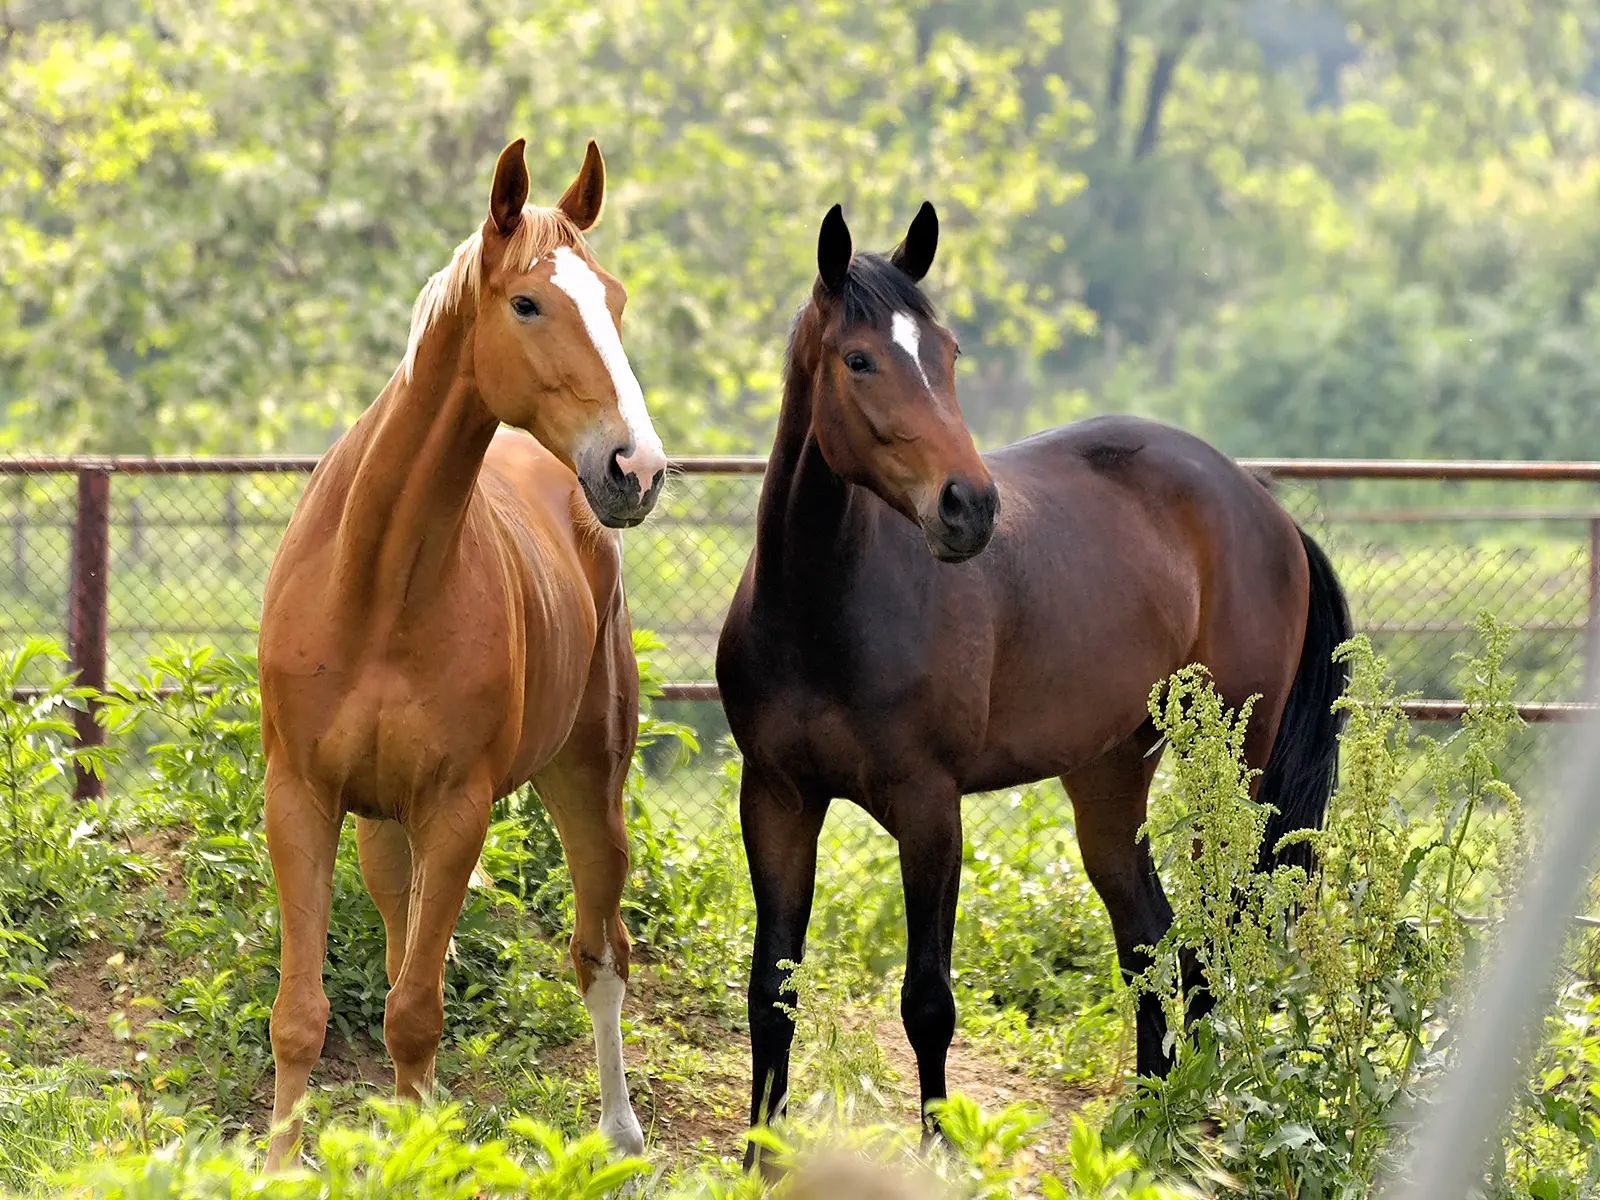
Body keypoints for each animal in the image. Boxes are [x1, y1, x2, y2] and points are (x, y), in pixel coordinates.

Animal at [256, 136, 662, 1171]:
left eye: (617, 299)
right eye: (527, 303)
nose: (635, 468)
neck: (377, 583)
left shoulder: (456, 808)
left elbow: (415, 1014)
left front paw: (419, 1154)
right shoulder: (302, 799)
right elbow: (302, 1013)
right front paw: (279, 1167)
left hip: (587, 783)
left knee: (600, 951)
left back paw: (618, 1131)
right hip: (382, 828)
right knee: (407, 938)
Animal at [713, 204, 1350, 1164]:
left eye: (947, 353)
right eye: (859, 359)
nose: (968, 507)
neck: (821, 611)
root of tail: (1261, 503)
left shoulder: (930, 810)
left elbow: (927, 1001)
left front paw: (941, 1156)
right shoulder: (778, 800)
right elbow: (770, 993)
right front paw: (760, 1160)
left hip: (1230, 768)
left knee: (1218, 933)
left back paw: (1206, 1110)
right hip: (1110, 772)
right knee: (1150, 937)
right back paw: (1149, 1122)